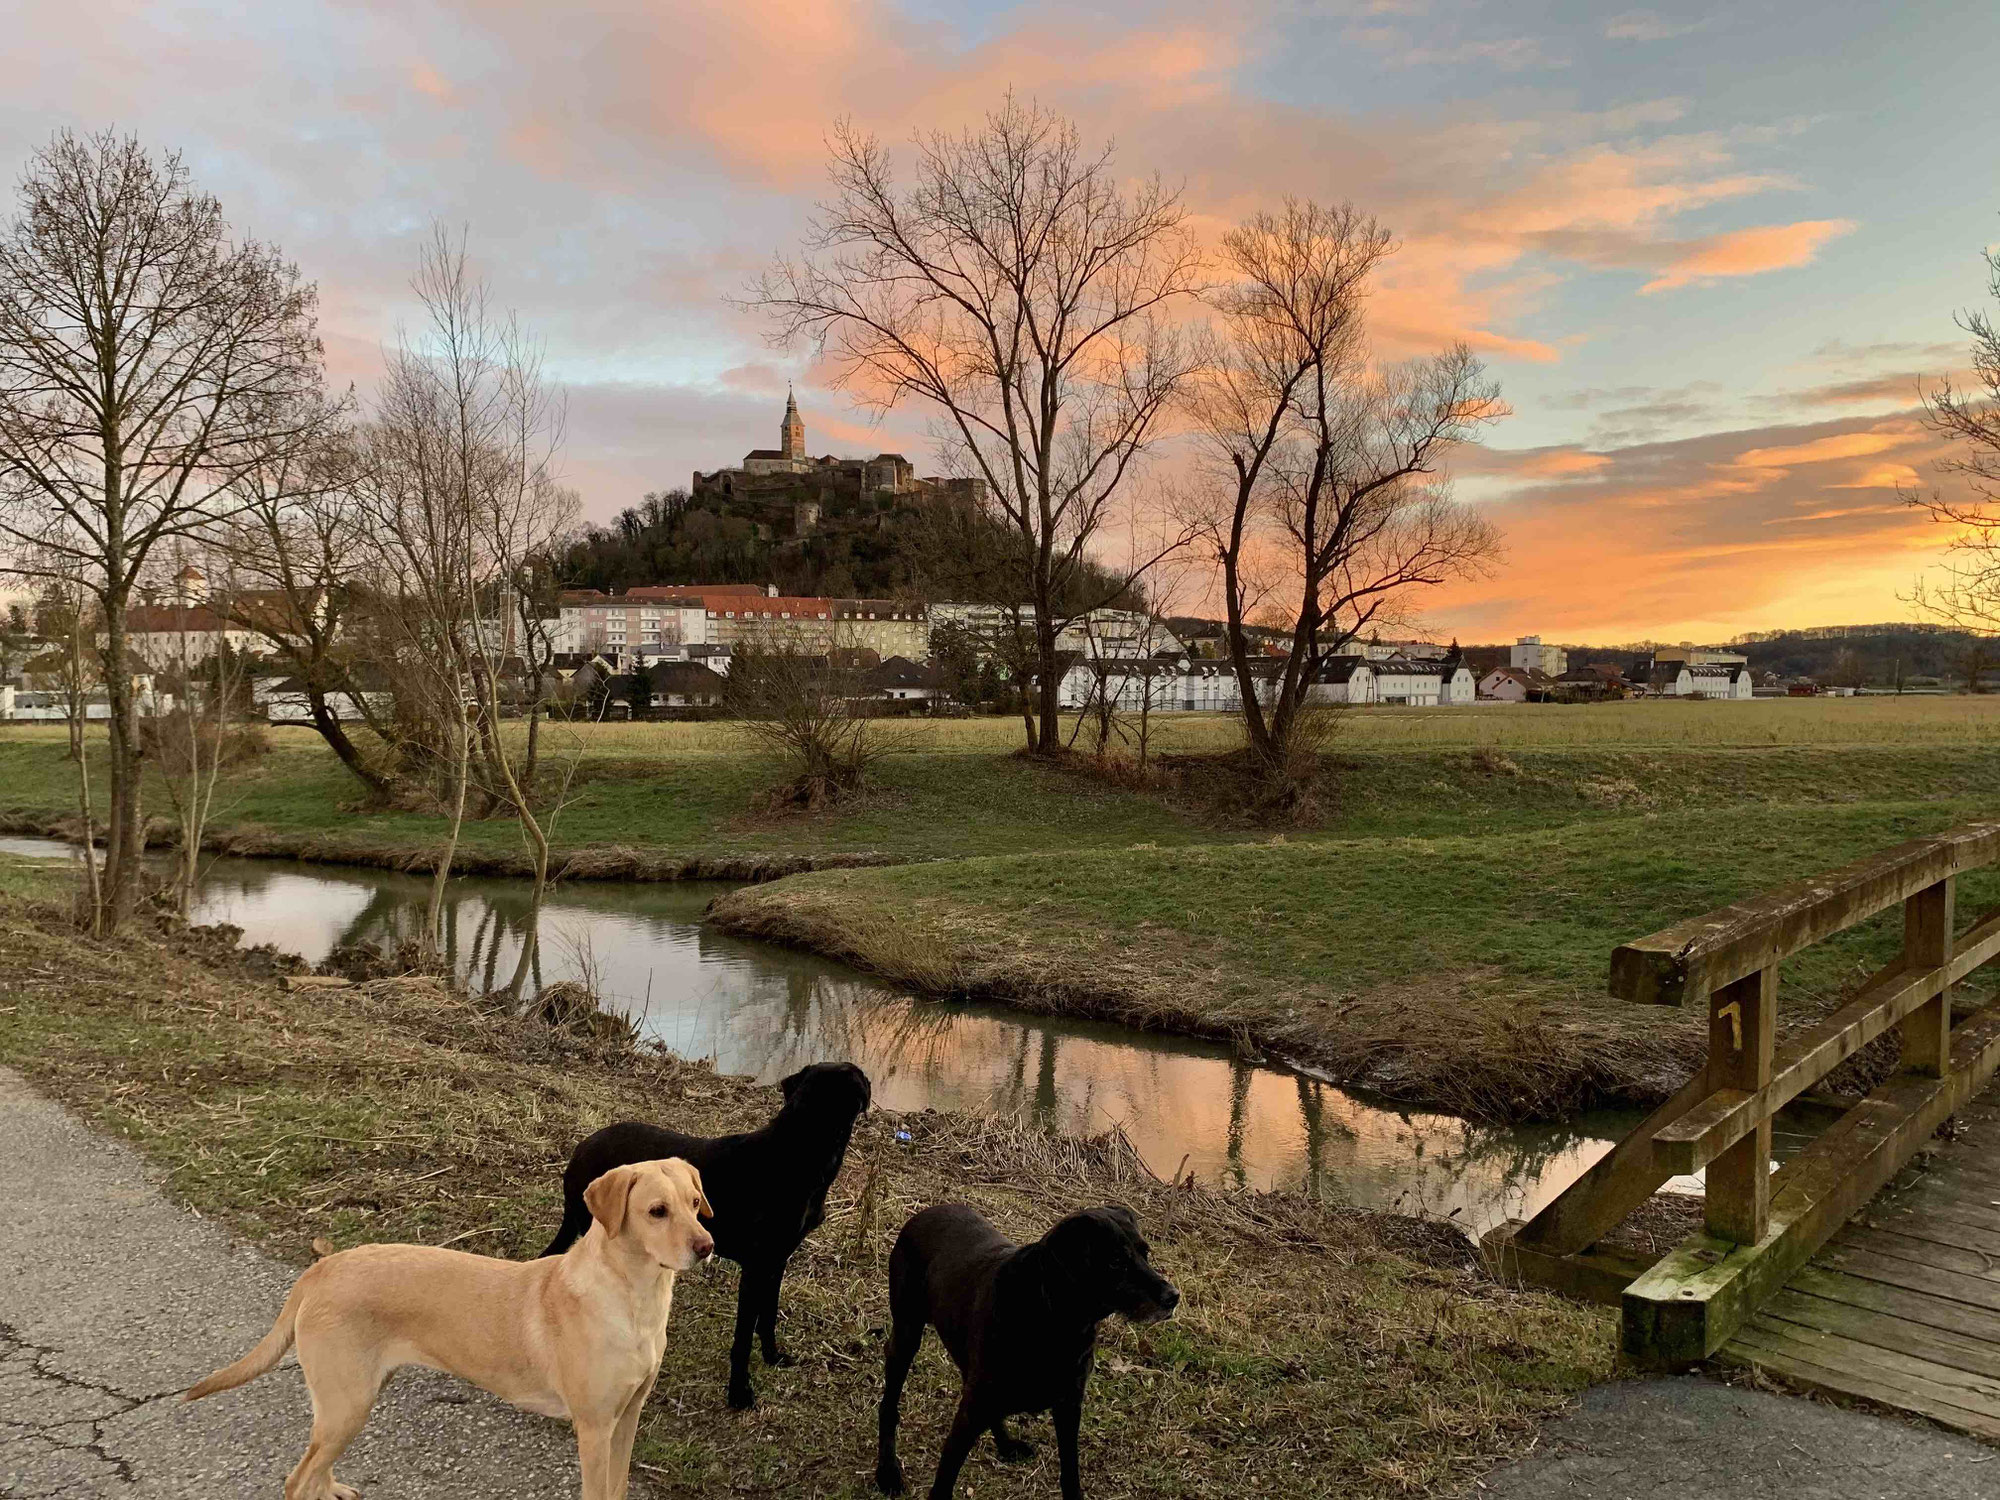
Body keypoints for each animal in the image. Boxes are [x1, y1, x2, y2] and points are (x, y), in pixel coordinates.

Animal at [544, 1056, 872, 1408]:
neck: (794, 1155)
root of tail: (582, 1147)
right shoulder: (756, 1269)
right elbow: (743, 1338)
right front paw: (739, 1392)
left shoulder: (776, 1262)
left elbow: (768, 1316)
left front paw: (773, 1356)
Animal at [872, 1208, 1168, 1500]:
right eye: (1116, 1261)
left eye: (1145, 1252)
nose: (1172, 1296)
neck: (1052, 1321)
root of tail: (924, 1212)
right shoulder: (972, 1411)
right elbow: (946, 1475)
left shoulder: (1069, 1404)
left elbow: (1070, 1472)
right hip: (907, 1336)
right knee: (889, 1404)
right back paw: (887, 1471)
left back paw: (1006, 1444)